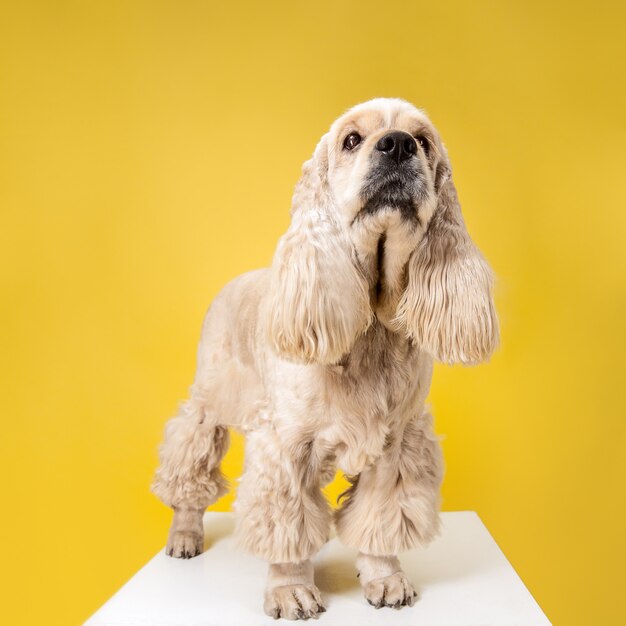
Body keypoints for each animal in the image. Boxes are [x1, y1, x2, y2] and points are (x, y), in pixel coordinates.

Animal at [151, 95, 498, 616]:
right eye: (351, 139)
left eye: (424, 140)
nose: (398, 145)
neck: (371, 331)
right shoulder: (286, 444)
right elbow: (286, 525)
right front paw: (290, 589)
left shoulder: (396, 443)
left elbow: (379, 517)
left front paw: (385, 578)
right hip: (208, 402)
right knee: (189, 466)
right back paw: (185, 534)